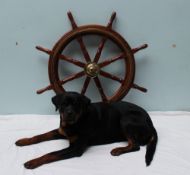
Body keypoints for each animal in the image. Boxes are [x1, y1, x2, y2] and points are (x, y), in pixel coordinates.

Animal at [15, 92, 157, 169]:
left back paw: (118, 150)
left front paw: (33, 161)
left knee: (136, 145)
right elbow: (40, 135)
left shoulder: (75, 148)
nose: (69, 113)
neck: (74, 123)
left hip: (125, 119)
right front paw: (24, 141)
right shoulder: (61, 131)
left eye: (77, 105)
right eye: (63, 104)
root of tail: (150, 120)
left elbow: (51, 153)